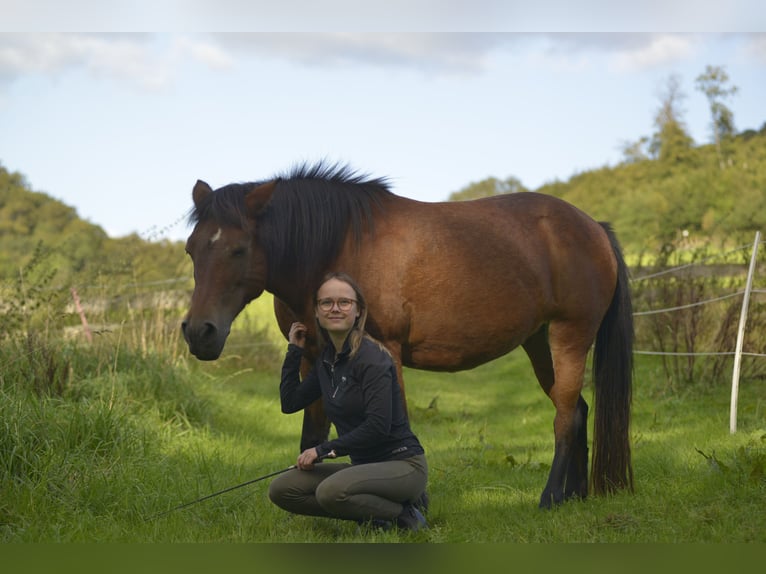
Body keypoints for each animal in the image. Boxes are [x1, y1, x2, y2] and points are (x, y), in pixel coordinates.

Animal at [182, 162, 636, 508]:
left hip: (569, 336)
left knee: (564, 416)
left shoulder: (386, 353)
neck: (340, 245)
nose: (199, 332)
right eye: (191, 248)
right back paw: (575, 495)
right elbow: (312, 436)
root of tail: (594, 227)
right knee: (577, 409)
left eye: (239, 249)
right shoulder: (312, 358)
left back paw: (550, 497)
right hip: (539, 342)